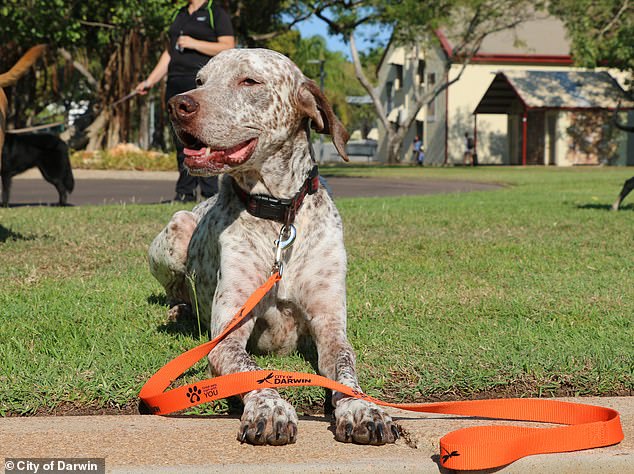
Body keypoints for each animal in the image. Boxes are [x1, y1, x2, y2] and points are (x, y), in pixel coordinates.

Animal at [146, 50, 398, 446]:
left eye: (250, 81)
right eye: (200, 81)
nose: (176, 104)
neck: (279, 214)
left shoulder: (331, 327)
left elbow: (345, 370)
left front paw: (363, 409)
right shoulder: (227, 335)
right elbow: (253, 370)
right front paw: (270, 408)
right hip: (176, 229)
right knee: (176, 288)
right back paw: (179, 310)